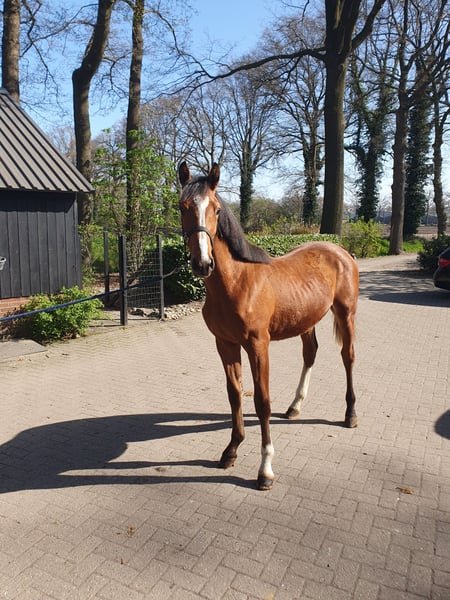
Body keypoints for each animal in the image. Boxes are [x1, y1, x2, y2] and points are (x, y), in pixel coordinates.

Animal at [178, 162, 359, 491]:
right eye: (181, 206)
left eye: (216, 209)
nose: (202, 264)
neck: (237, 282)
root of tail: (341, 252)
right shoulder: (225, 344)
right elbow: (235, 395)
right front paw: (231, 450)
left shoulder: (257, 345)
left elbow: (262, 402)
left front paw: (265, 470)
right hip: (307, 321)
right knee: (310, 354)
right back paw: (295, 407)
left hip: (346, 313)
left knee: (348, 358)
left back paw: (350, 414)